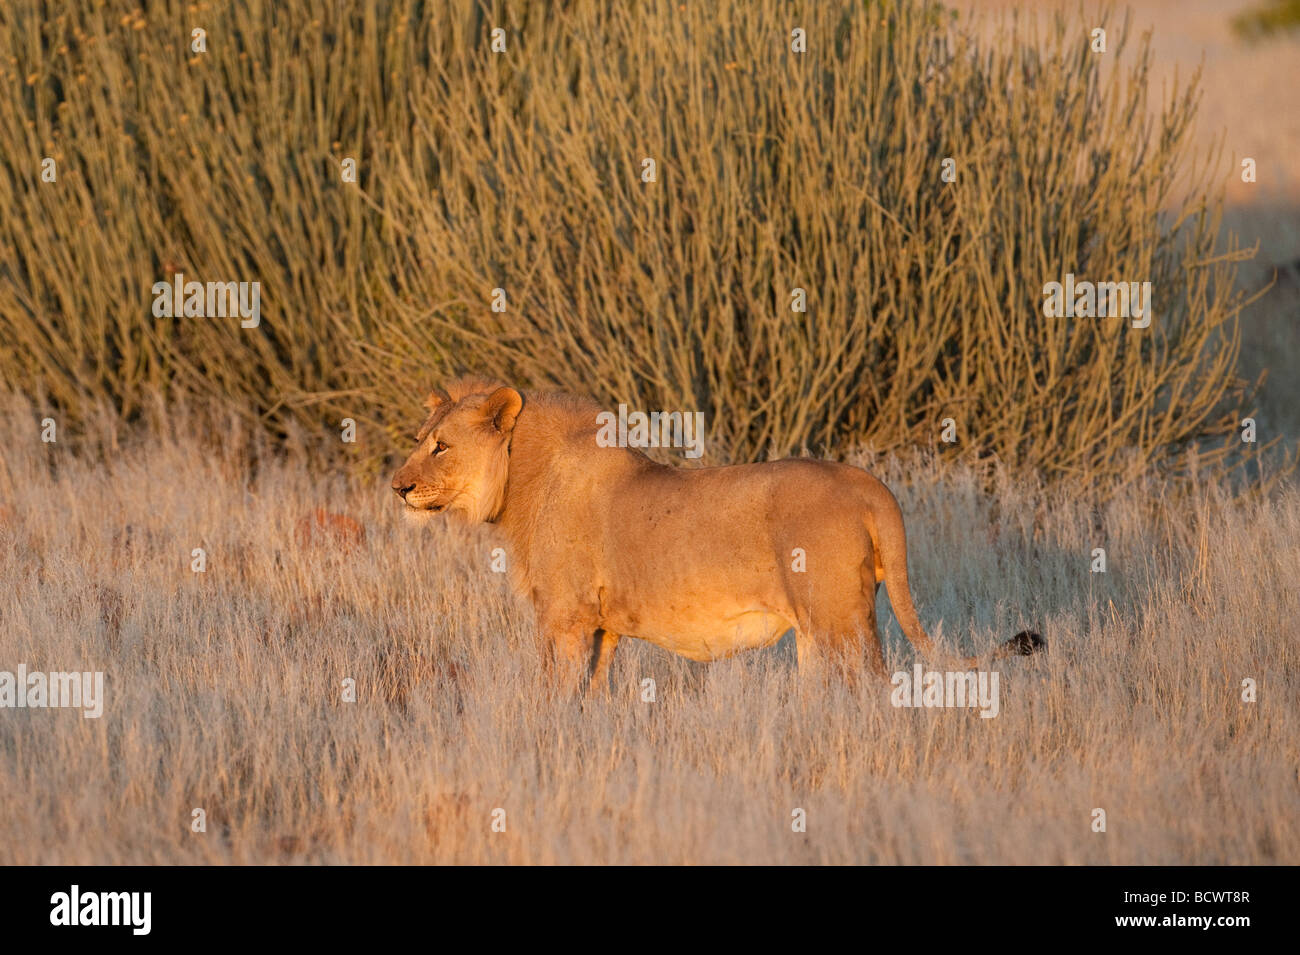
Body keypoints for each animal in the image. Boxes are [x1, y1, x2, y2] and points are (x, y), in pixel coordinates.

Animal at [390, 379, 1040, 696]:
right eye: (421, 439)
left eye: (440, 446)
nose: (398, 487)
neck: (522, 480)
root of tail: (867, 484)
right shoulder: (602, 627)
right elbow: (593, 693)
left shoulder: (564, 619)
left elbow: (555, 692)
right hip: (816, 631)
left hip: (840, 621)